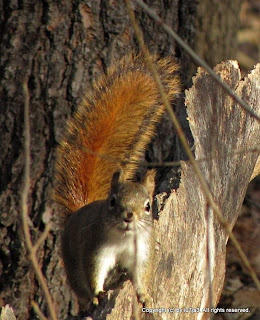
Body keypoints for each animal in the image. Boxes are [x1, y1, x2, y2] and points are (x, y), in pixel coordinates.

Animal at [52, 53, 179, 312]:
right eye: (112, 202)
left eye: (148, 206)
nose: (128, 215)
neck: (123, 238)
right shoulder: (96, 248)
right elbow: (94, 272)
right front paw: (97, 294)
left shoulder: (142, 251)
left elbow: (141, 275)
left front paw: (144, 295)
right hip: (71, 262)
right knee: (79, 283)